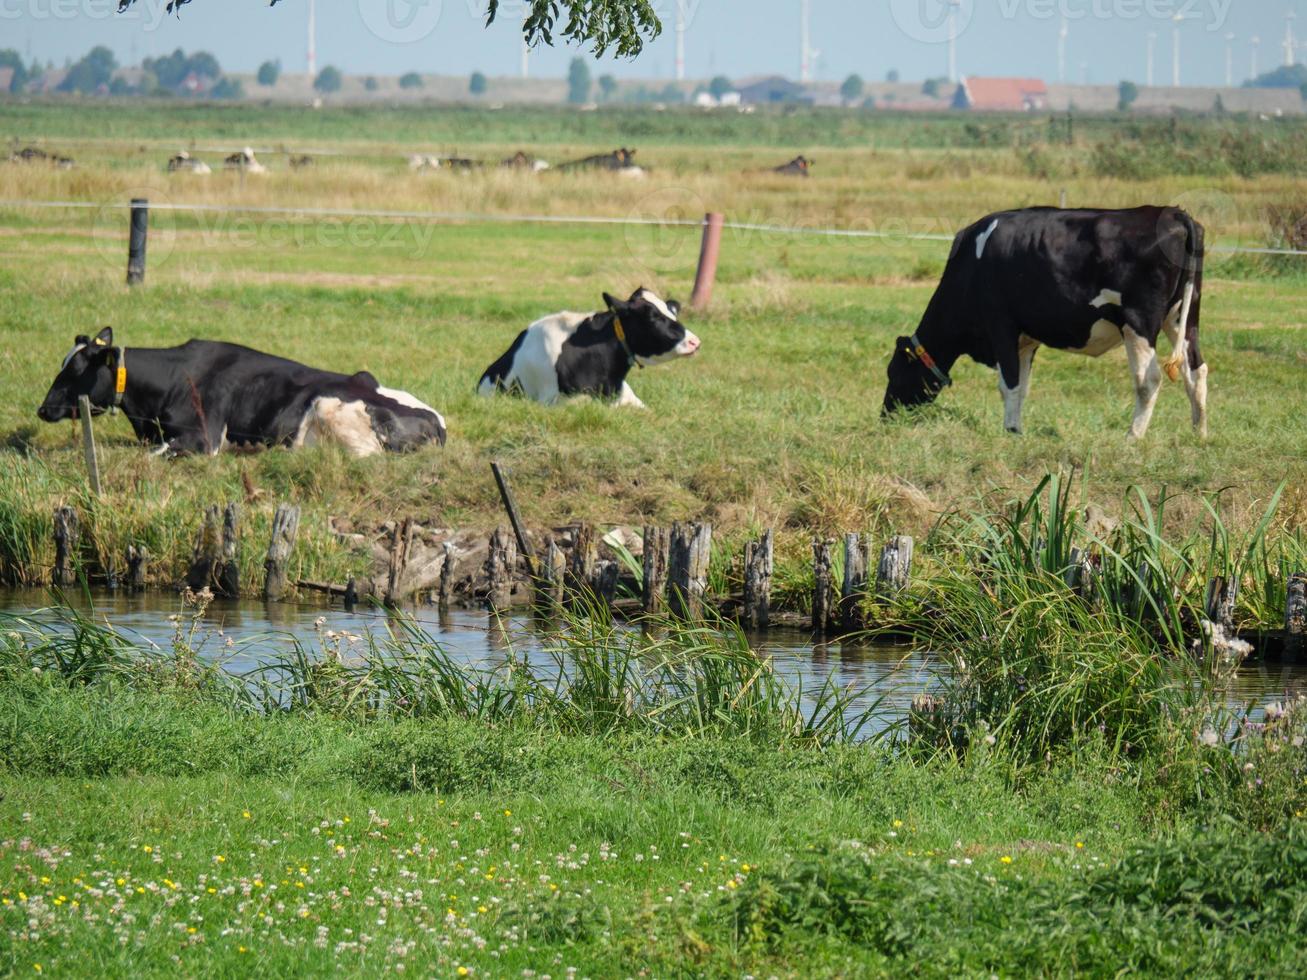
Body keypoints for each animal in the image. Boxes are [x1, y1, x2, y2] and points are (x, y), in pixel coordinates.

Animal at [38, 326, 446, 457]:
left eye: (73, 372)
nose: (42, 410)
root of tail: (436, 422)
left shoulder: (203, 437)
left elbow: (153, 456)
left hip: (334, 415)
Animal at [883, 207, 1207, 441]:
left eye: (894, 372)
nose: (886, 416)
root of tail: (1172, 213)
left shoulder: (1001, 325)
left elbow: (1009, 383)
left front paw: (1011, 432)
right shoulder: (1026, 339)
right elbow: (1022, 385)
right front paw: (1016, 428)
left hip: (1139, 321)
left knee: (1148, 378)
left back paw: (1133, 436)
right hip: (1183, 317)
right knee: (1196, 370)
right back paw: (1199, 433)